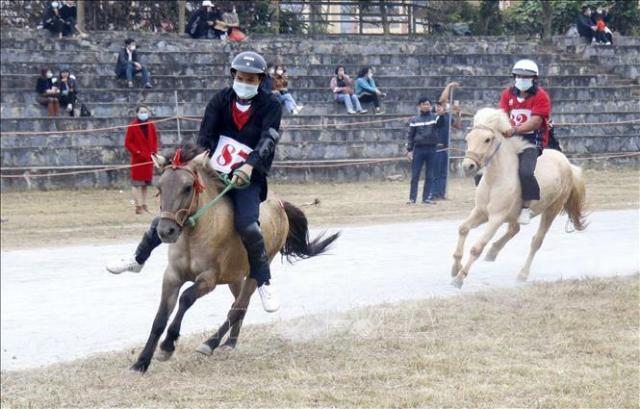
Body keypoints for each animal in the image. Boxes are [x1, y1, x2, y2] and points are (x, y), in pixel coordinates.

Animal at [131, 142, 340, 372]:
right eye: (159, 188)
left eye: (187, 187)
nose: (166, 231)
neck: (193, 236)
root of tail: (279, 204)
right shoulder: (172, 276)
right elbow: (160, 317)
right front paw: (141, 362)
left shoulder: (209, 279)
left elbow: (186, 298)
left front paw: (168, 345)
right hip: (235, 276)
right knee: (239, 305)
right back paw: (229, 343)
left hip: (257, 269)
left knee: (238, 307)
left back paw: (210, 343)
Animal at [450, 108, 584, 286]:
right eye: (468, 138)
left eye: (487, 139)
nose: (468, 166)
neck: (495, 179)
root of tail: (567, 163)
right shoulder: (480, 212)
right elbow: (463, 229)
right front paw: (455, 268)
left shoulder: (496, 217)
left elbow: (477, 247)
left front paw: (460, 278)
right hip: (515, 214)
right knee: (515, 229)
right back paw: (493, 252)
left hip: (552, 209)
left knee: (536, 241)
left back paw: (522, 274)